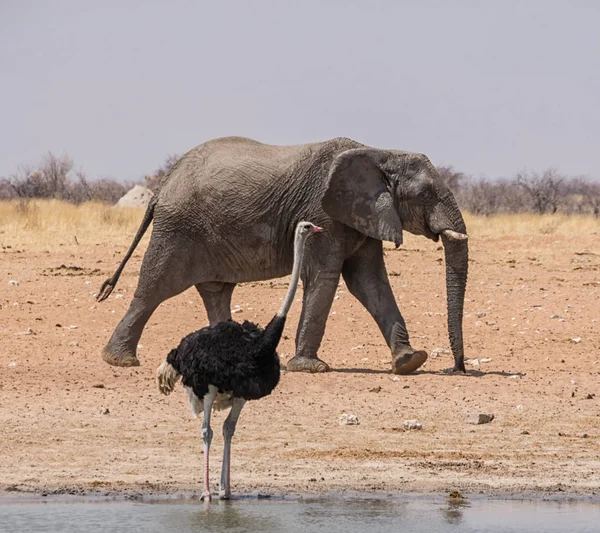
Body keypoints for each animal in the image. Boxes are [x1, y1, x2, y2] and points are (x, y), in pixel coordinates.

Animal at [97, 135, 468, 372]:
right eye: (426, 193)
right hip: (178, 229)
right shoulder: (323, 215)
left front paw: (410, 361)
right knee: (156, 287)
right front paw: (310, 367)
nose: (457, 369)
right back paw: (119, 361)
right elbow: (325, 277)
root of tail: (161, 187)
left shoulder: (362, 217)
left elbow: (370, 282)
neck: (380, 153)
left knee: (216, 291)